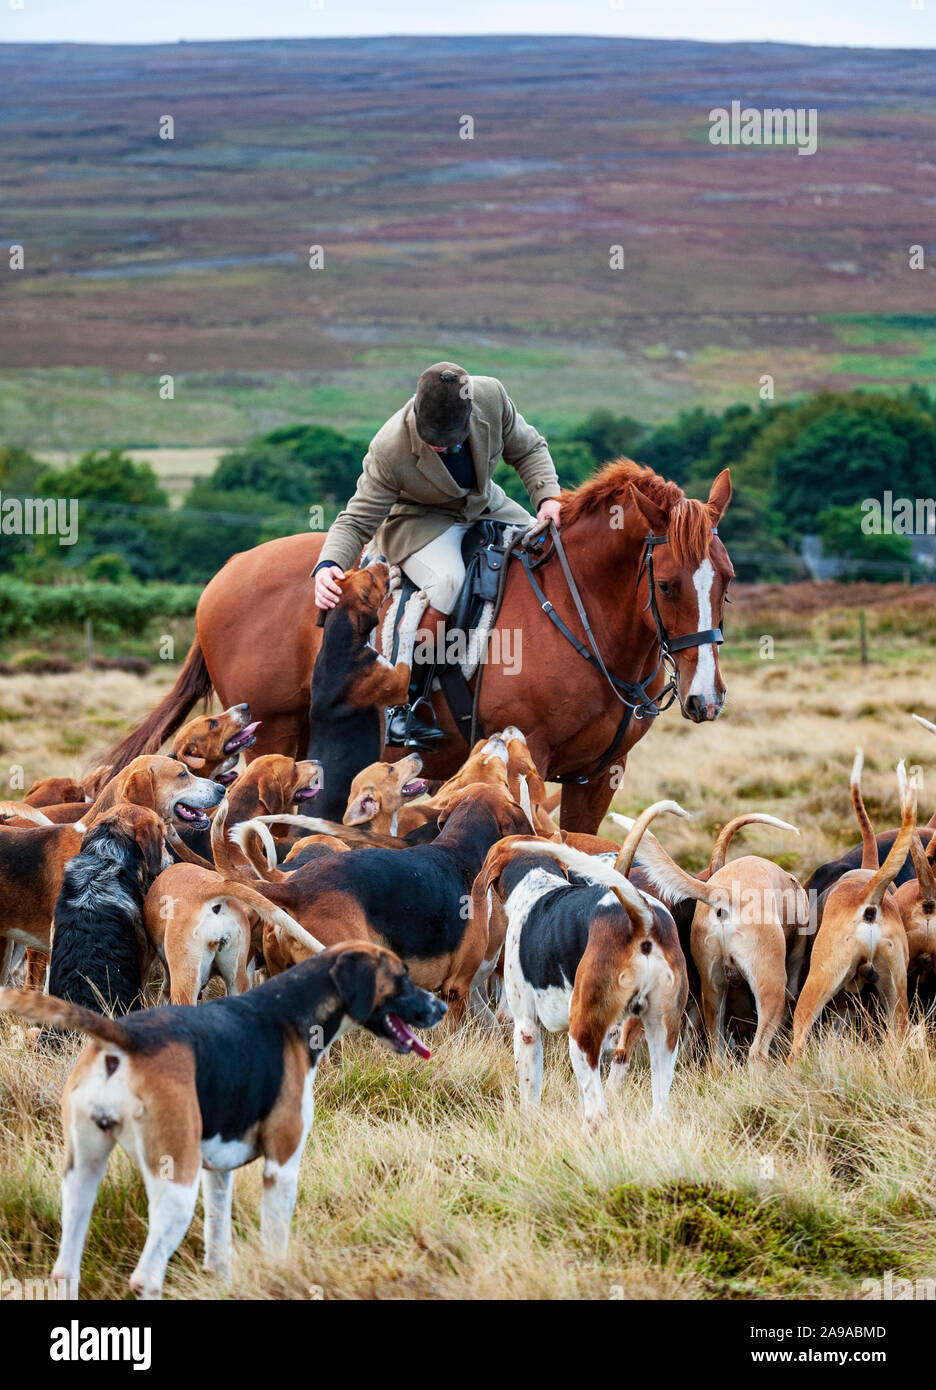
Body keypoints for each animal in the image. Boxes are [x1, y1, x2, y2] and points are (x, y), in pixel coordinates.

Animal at [100, 461, 728, 828]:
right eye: (667, 585)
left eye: (727, 578)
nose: (705, 699)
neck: (579, 609)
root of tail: (226, 571)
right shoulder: (531, 753)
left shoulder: (601, 776)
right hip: (271, 735)